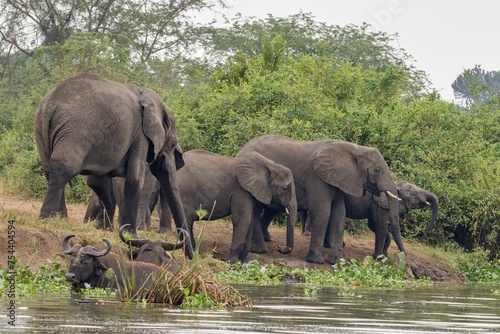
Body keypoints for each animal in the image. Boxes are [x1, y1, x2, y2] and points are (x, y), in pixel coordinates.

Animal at [33, 74, 193, 258]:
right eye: (173, 144)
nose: (190, 258)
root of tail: (49, 105)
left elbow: (97, 181)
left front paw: (103, 228)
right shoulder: (140, 135)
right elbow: (134, 177)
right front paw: (131, 235)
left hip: (41, 129)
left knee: (49, 170)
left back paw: (61, 220)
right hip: (75, 131)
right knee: (63, 169)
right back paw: (48, 219)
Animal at [160, 149, 296, 264]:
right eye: (285, 188)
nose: (279, 248)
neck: (269, 165)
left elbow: (250, 220)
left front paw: (243, 262)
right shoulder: (240, 189)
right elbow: (241, 218)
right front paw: (232, 262)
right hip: (185, 192)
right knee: (187, 220)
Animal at [236, 135, 400, 264]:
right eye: (377, 170)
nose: (280, 249)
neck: (355, 148)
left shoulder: (338, 180)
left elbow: (339, 215)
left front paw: (335, 262)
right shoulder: (317, 179)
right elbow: (323, 211)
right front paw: (316, 261)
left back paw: (267, 240)